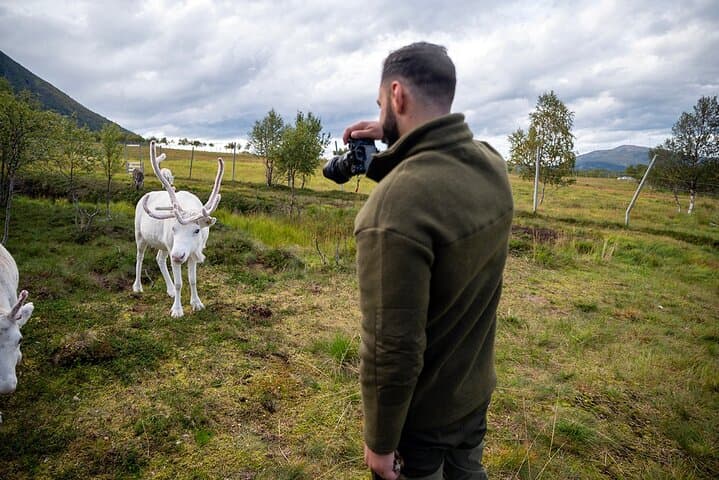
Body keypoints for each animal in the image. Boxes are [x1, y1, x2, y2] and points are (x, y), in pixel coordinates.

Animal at [133, 141, 224, 318]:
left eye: (197, 230)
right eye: (174, 228)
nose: (177, 255)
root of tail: (142, 198)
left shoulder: (193, 252)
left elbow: (192, 280)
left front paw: (197, 303)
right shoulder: (173, 249)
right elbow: (179, 283)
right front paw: (177, 310)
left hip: (164, 245)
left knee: (160, 259)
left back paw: (169, 290)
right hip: (140, 235)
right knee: (140, 257)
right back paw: (137, 286)